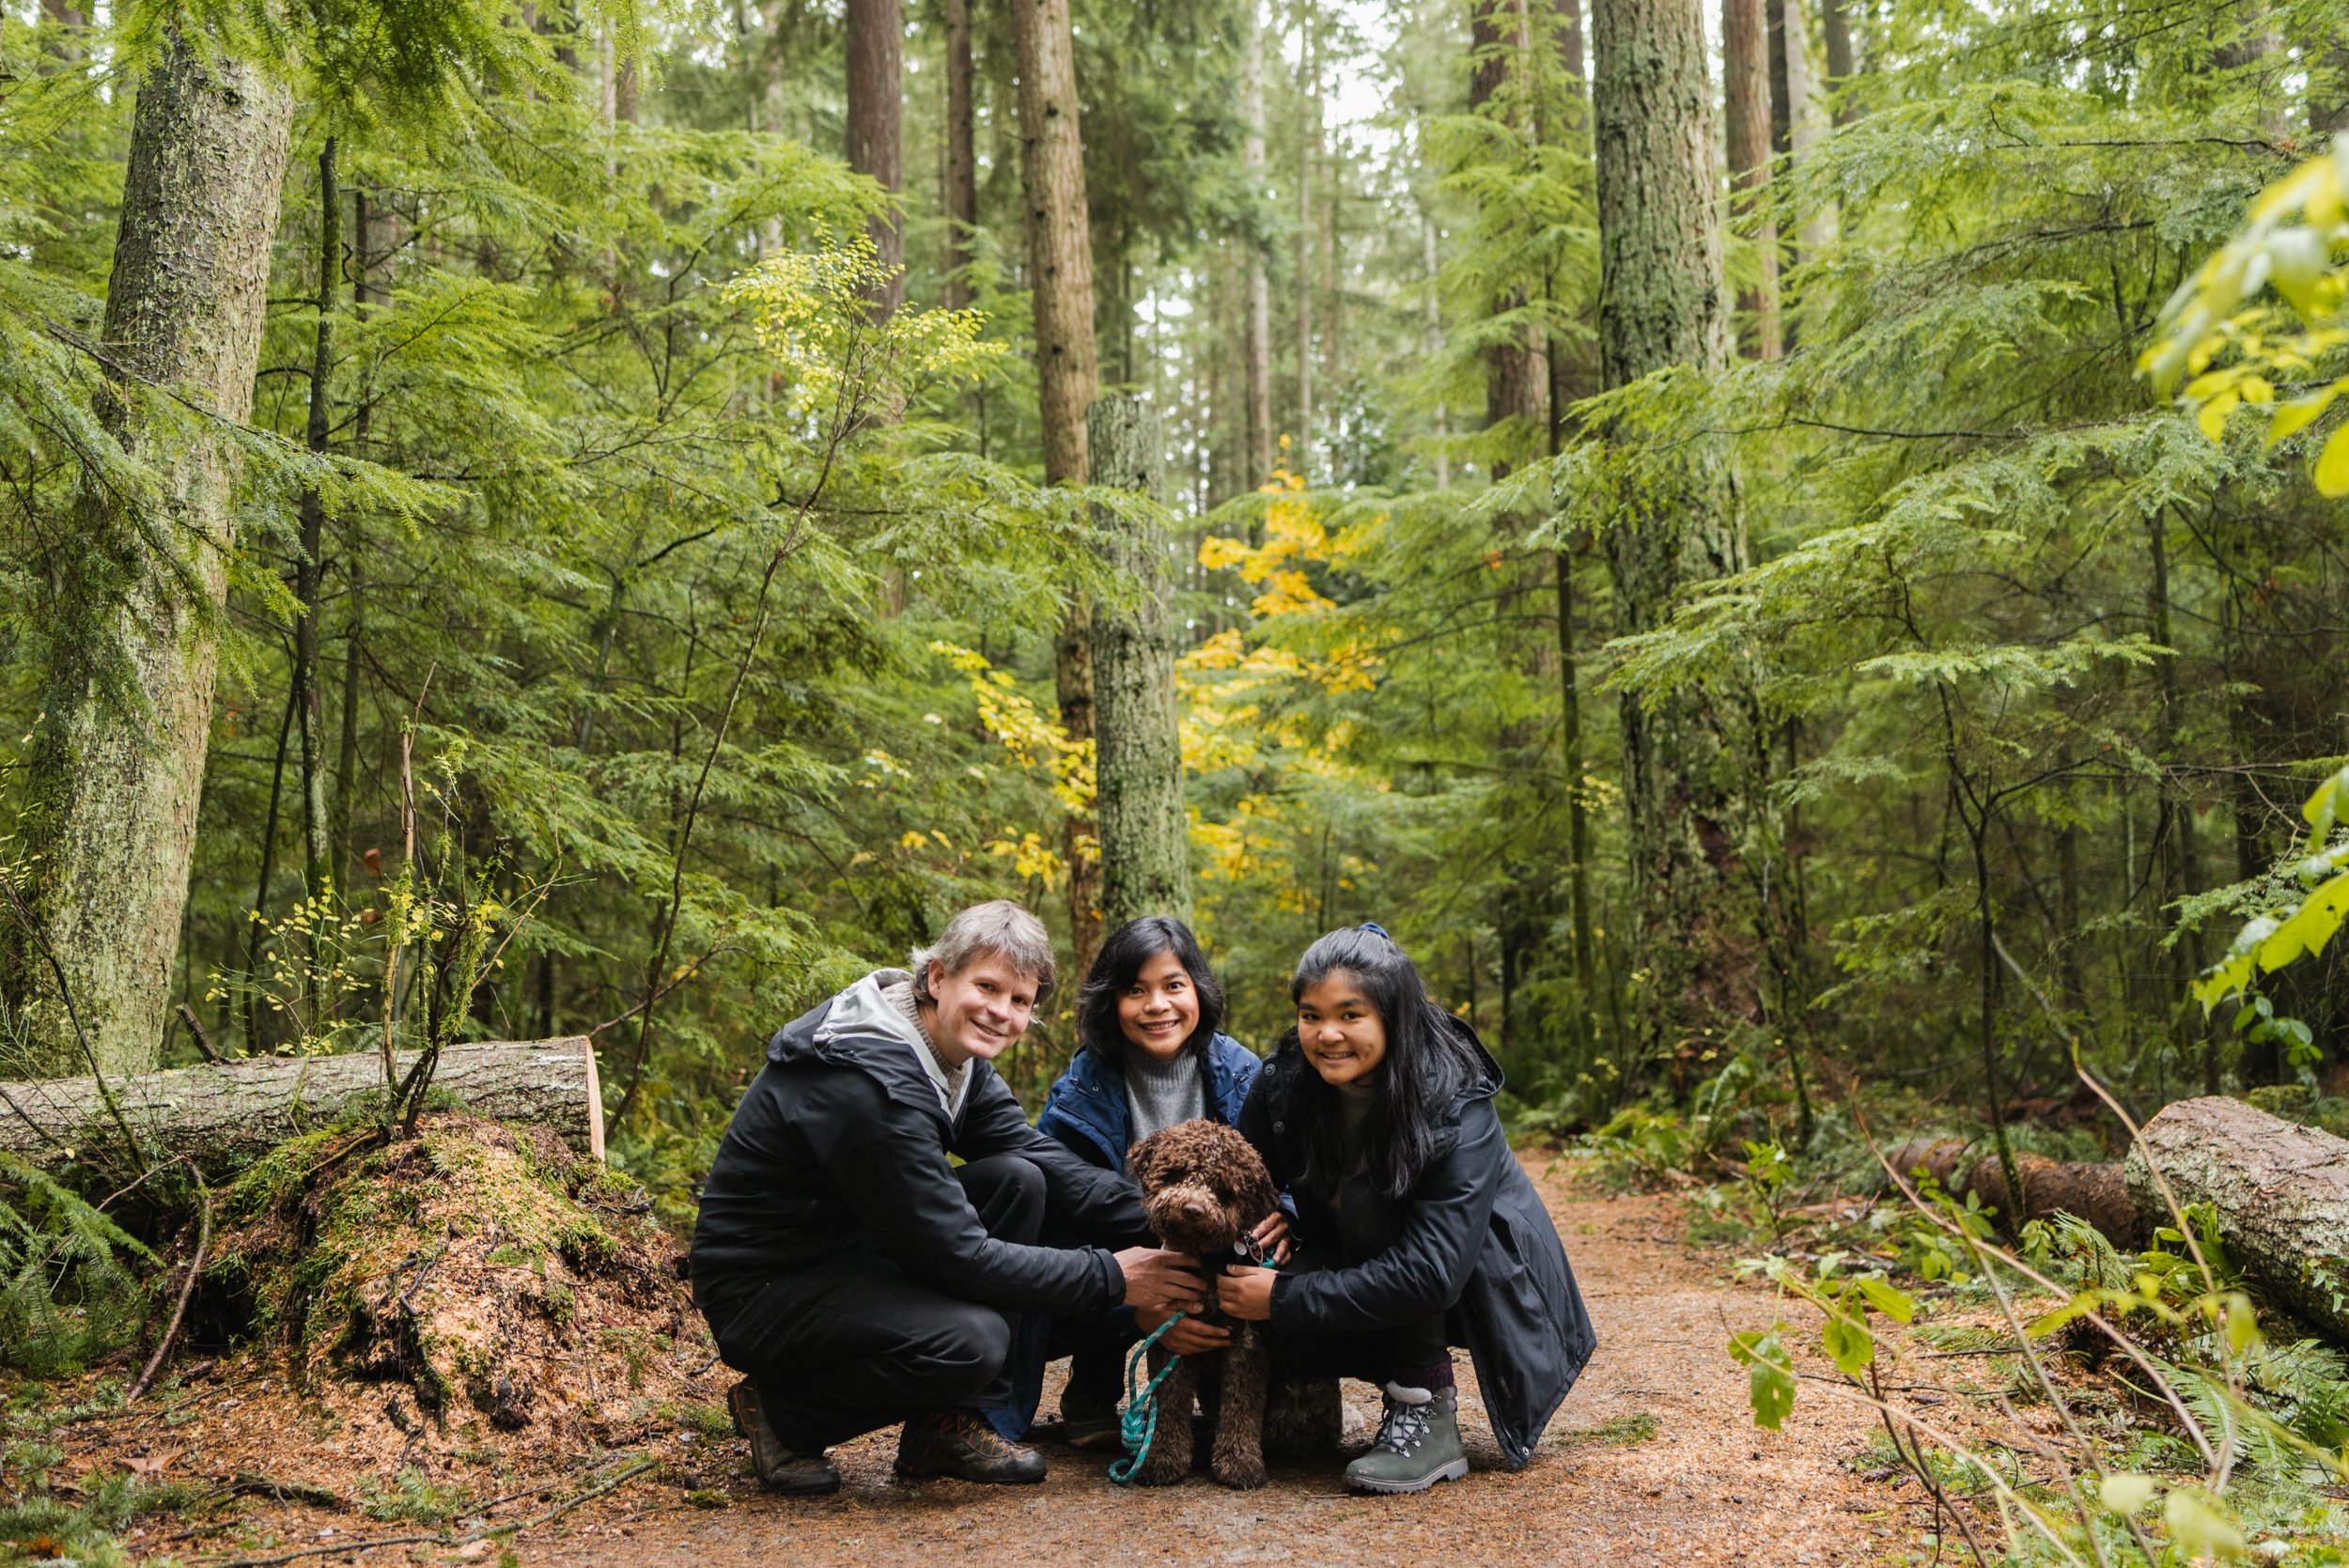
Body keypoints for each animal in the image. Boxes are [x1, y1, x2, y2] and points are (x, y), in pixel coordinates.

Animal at [1123, 1122, 1278, 1493]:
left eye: (1224, 1190)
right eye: (1178, 1173)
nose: (1193, 1210)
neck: (1206, 1267)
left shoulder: (1246, 1348)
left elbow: (1241, 1410)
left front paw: (1239, 1462)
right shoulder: (1172, 1339)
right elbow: (1168, 1404)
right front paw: (1161, 1458)